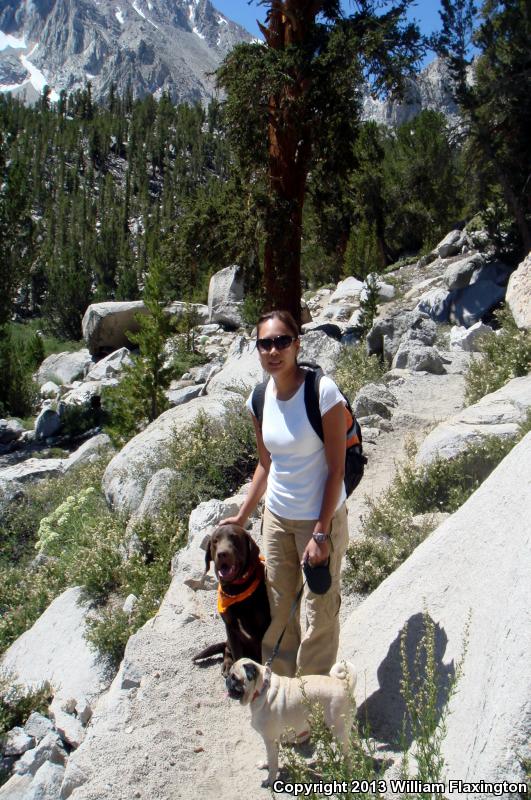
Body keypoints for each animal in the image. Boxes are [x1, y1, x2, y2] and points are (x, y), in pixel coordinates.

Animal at [193, 524, 272, 676]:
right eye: (215, 541)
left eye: (234, 538)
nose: (222, 554)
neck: (237, 591)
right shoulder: (230, 628)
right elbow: (237, 656)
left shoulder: (263, 629)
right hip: (229, 639)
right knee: (226, 649)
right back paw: (227, 664)